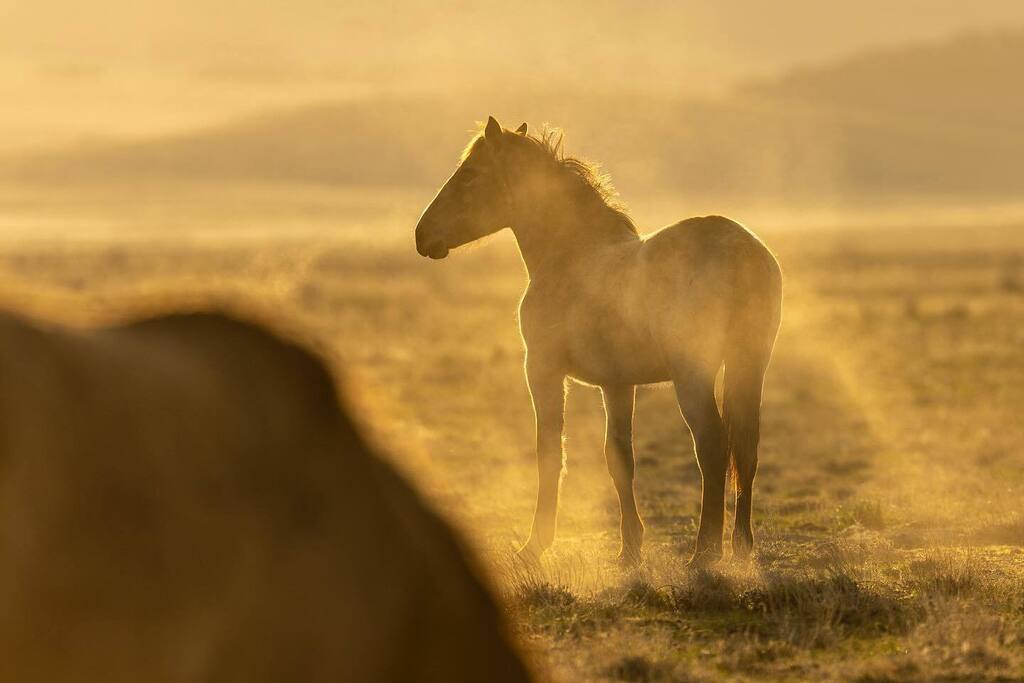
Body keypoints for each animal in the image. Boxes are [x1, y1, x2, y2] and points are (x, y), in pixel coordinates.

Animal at [415, 117, 782, 567]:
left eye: (469, 174)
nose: (422, 235)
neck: (568, 255)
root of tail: (742, 250)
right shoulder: (618, 385)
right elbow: (620, 459)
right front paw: (630, 549)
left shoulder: (543, 371)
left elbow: (550, 453)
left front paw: (535, 544)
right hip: (749, 368)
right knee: (745, 451)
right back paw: (742, 548)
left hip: (694, 378)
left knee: (713, 448)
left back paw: (704, 553)